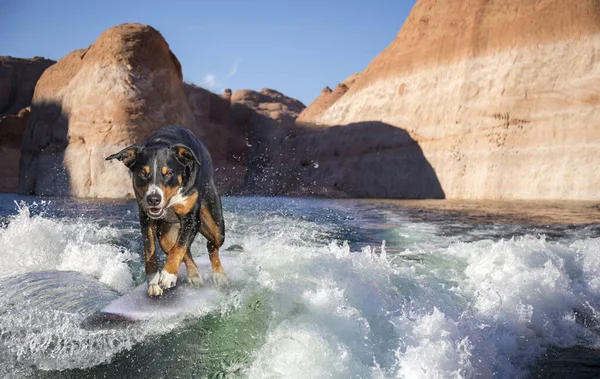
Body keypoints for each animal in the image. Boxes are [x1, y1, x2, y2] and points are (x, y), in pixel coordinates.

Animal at [105, 124, 227, 296]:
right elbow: (152, 251)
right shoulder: (146, 218)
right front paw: (153, 281)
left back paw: (219, 276)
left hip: (215, 224)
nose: (153, 199)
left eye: (169, 173)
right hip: (165, 235)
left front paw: (168, 275)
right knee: (184, 250)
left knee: (211, 245)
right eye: (143, 173)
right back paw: (194, 275)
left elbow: (179, 247)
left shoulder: (191, 219)